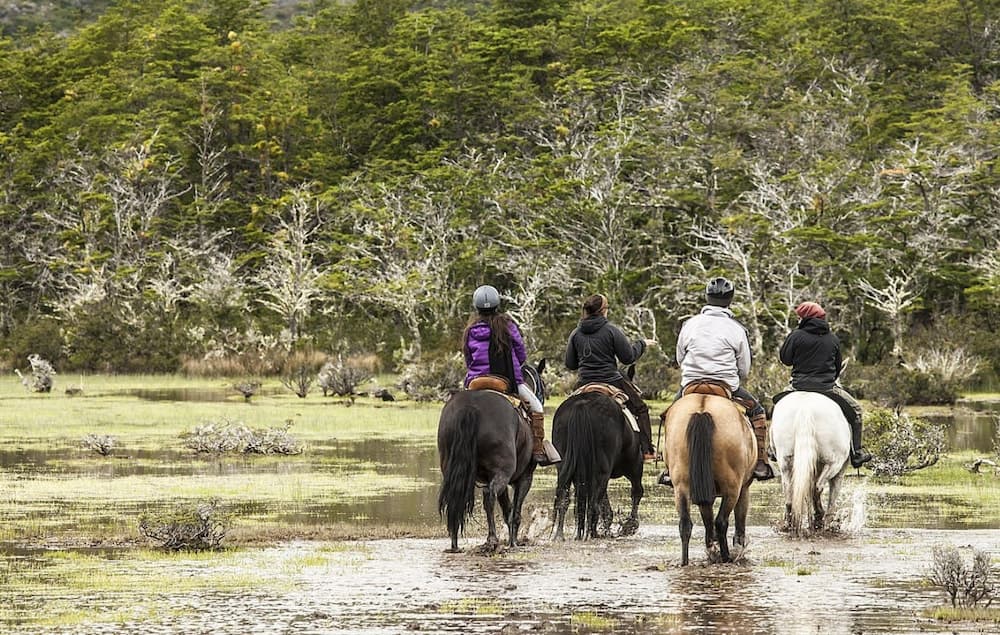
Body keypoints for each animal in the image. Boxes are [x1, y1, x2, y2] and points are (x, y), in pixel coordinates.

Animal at [437, 360, 545, 554]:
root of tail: (470, 407)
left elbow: (507, 509)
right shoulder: (525, 477)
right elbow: (514, 512)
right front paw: (513, 542)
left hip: (452, 469)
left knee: (455, 499)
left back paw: (455, 544)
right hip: (503, 471)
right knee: (489, 495)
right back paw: (492, 540)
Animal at [551, 388, 645, 540]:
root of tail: (581, 405)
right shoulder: (635, 465)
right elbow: (636, 492)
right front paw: (630, 525)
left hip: (566, 467)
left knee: (565, 499)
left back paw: (560, 535)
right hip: (605, 471)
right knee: (594, 502)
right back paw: (591, 533)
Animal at [662, 393, 756, 565]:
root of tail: (702, 410)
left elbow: (707, 520)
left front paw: (712, 548)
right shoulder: (744, 487)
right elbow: (739, 520)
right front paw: (738, 548)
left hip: (681, 486)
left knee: (685, 524)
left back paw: (685, 561)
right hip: (732, 488)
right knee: (721, 522)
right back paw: (726, 557)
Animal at [770, 390, 851, 535]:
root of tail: (805, 406)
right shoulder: (840, 471)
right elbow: (833, 495)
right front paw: (830, 523)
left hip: (786, 462)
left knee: (789, 492)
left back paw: (790, 524)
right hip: (834, 463)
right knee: (817, 487)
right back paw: (819, 517)